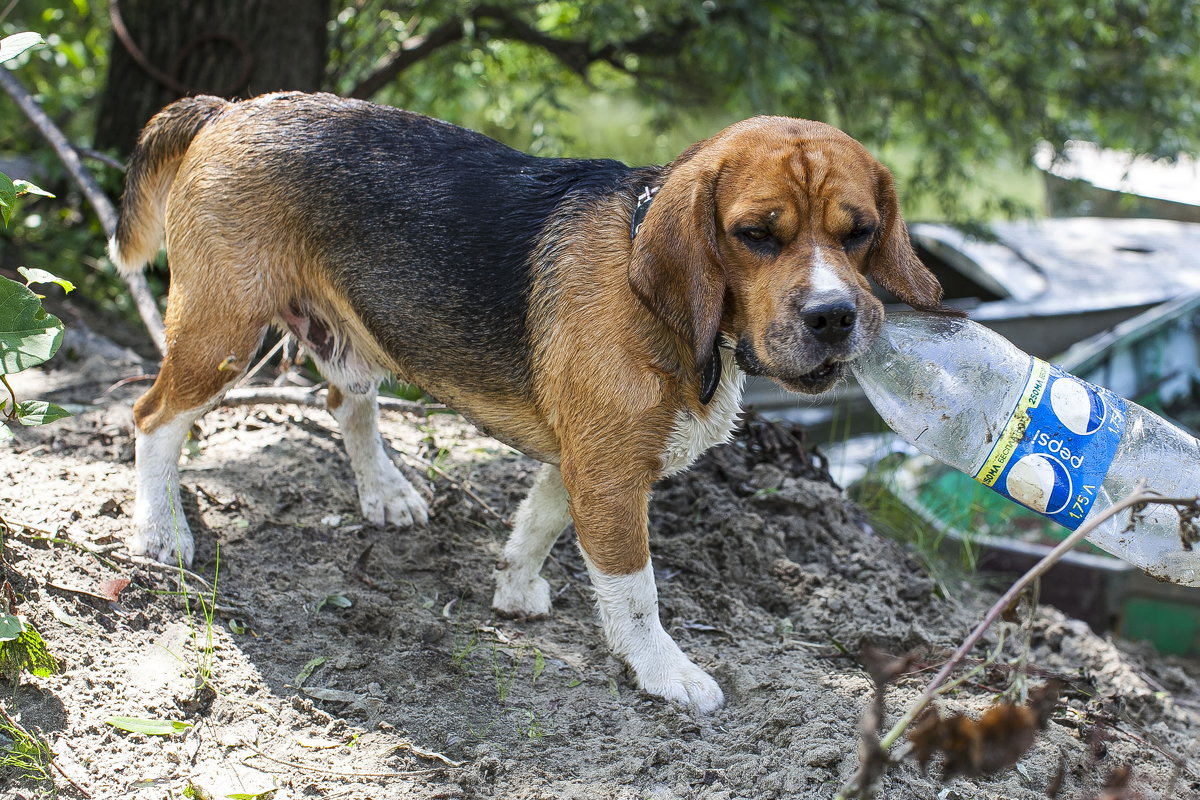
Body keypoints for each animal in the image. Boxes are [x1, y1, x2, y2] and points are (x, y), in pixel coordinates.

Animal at [110, 94, 945, 714]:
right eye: (756, 236)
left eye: (860, 232)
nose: (834, 317)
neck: (657, 295)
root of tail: (231, 109)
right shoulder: (611, 479)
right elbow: (634, 592)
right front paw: (664, 672)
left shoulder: (586, 463)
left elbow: (539, 523)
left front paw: (513, 587)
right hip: (219, 333)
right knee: (153, 421)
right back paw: (161, 528)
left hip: (352, 340)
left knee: (346, 404)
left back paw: (384, 492)